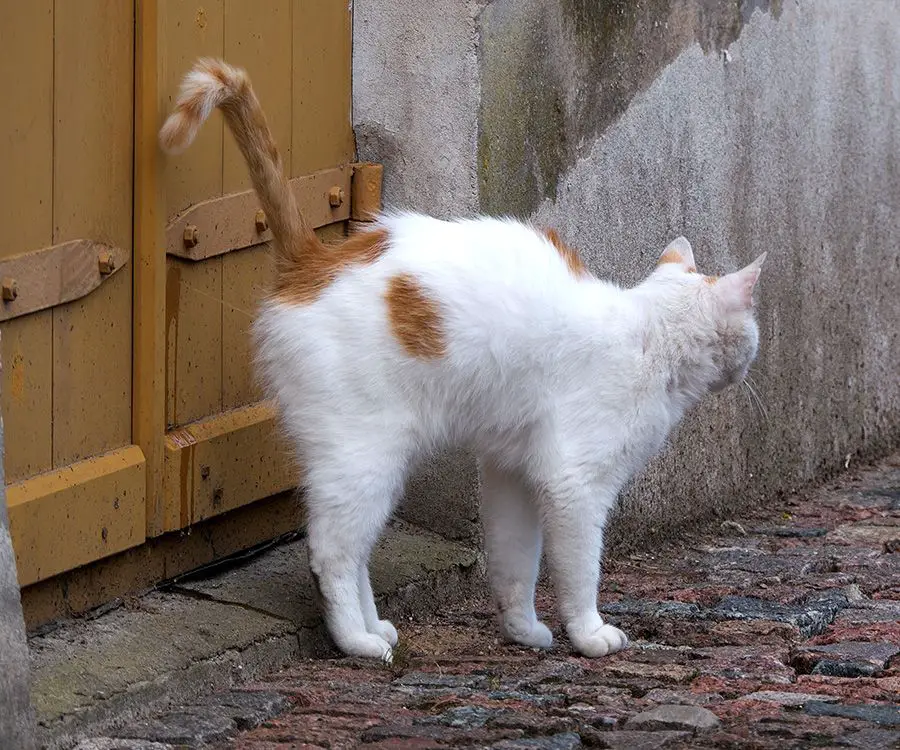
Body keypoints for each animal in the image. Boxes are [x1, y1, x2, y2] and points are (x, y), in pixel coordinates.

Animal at [162, 60, 768, 664]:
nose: (751, 362)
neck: (648, 336)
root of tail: (314, 261)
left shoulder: (513, 475)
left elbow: (514, 565)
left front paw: (523, 630)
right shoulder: (574, 485)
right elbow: (579, 572)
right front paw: (589, 633)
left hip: (375, 465)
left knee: (356, 550)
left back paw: (375, 625)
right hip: (363, 456)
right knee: (332, 551)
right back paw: (357, 640)